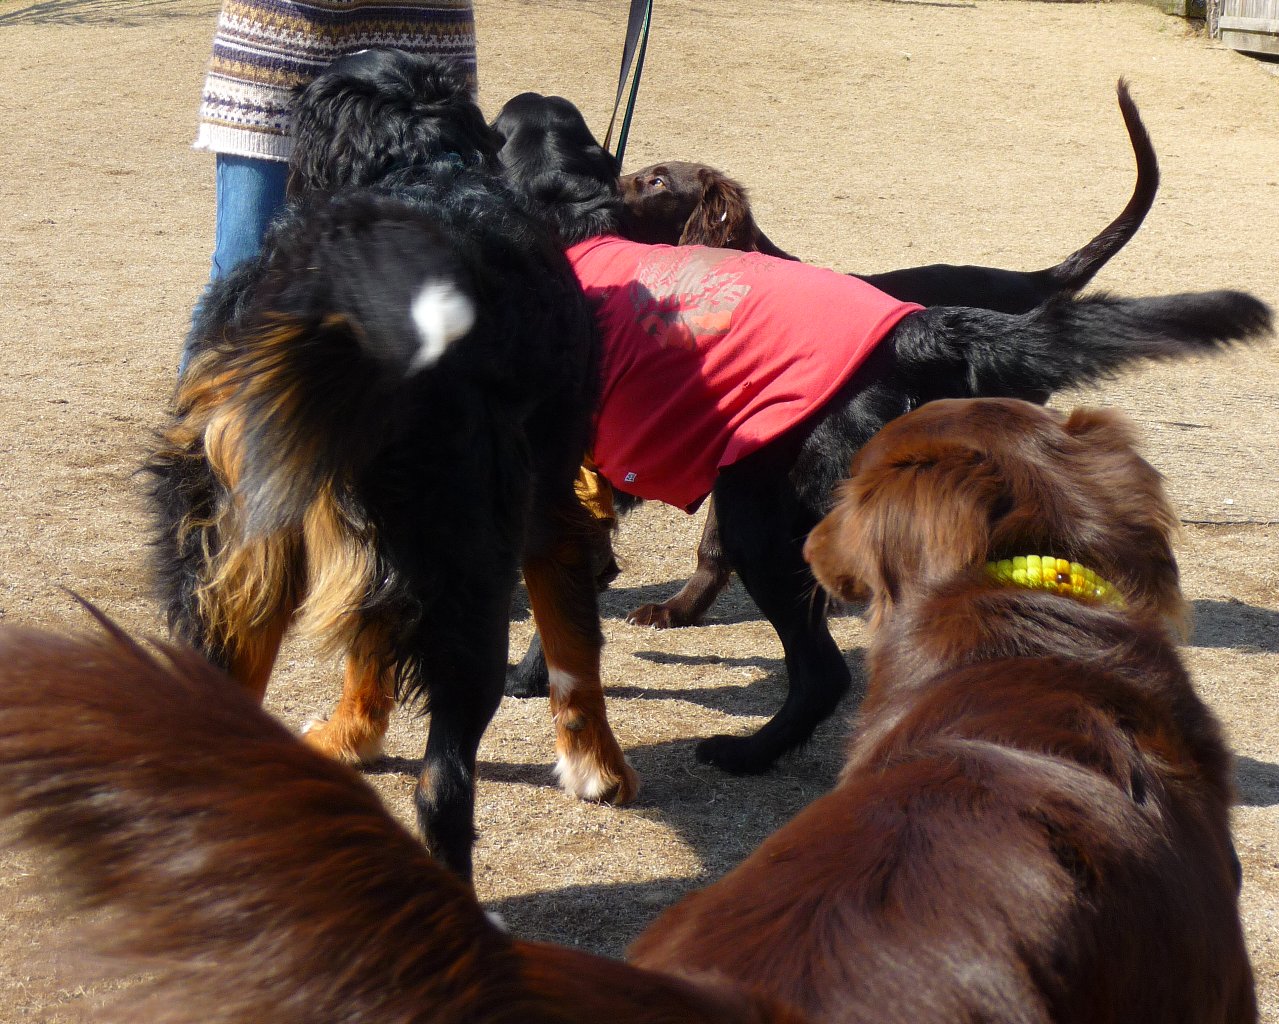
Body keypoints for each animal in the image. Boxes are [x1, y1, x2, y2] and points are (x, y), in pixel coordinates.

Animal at [144, 49, 636, 882]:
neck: (419, 159)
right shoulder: (551, 508)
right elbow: (574, 651)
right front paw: (598, 767)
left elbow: (366, 650)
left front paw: (350, 734)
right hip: (469, 576)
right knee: (444, 787)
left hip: (233, 557)